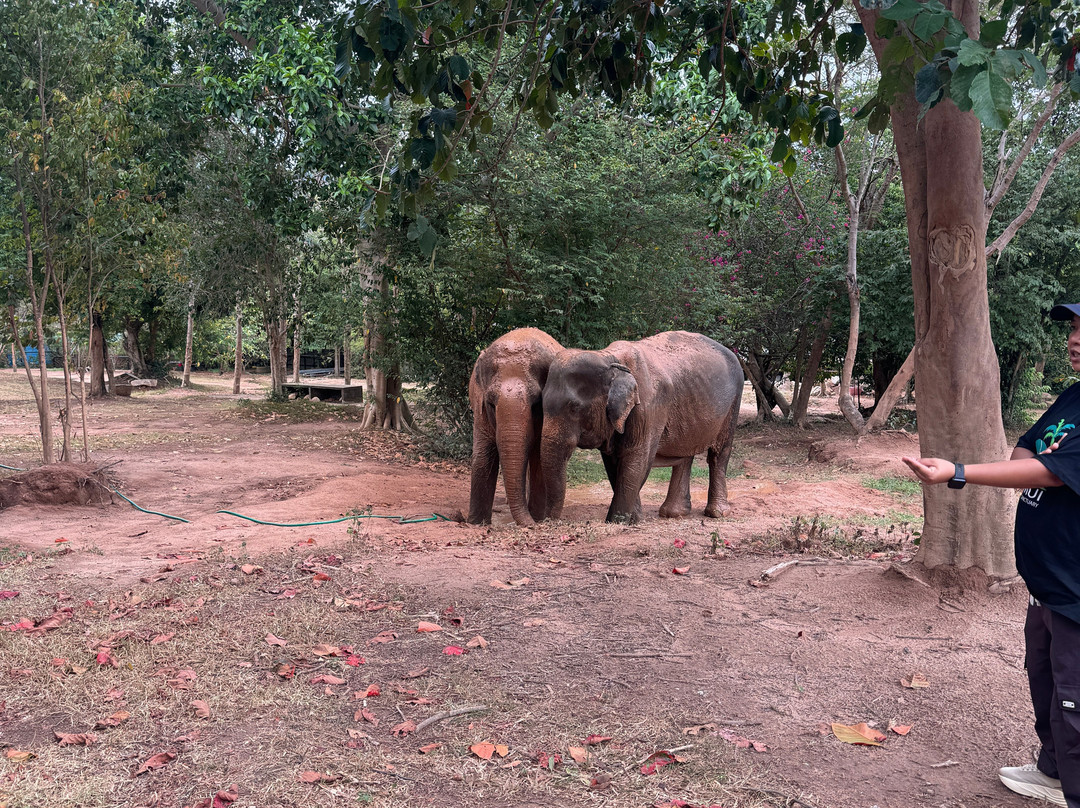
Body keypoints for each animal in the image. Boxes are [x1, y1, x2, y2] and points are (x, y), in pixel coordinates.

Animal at [468, 327, 563, 526]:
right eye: (491, 404)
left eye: (536, 404)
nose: (534, 525)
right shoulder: (479, 410)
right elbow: (483, 456)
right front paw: (475, 523)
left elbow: (539, 459)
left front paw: (536, 517)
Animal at [540, 331, 743, 524]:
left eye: (574, 408)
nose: (550, 521)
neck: (609, 357)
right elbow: (613, 463)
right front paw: (634, 519)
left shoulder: (649, 408)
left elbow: (637, 459)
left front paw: (617, 522)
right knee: (686, 453)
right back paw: (673, 514)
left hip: (733, 403)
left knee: (719, 454)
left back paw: (717, 513)